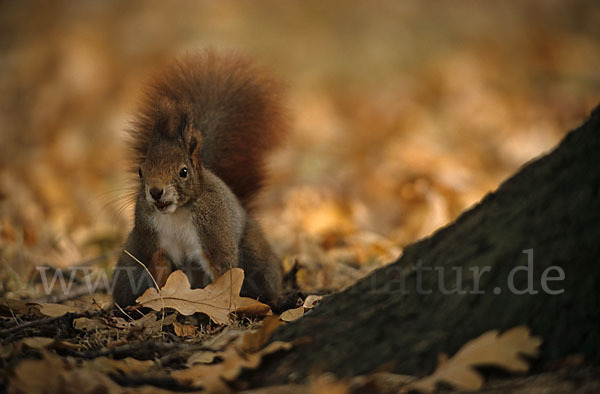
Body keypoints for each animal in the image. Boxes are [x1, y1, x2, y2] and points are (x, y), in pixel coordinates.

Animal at [114, 50, 290, 310]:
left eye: (183, 171)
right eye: (140, 171)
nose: (155, 192)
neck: (177, 212)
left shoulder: (214, 235)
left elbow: (223, 274)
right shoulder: (153, 241)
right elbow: (159, 274)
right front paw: (158, 300)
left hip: (256, 255)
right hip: (131, 257)